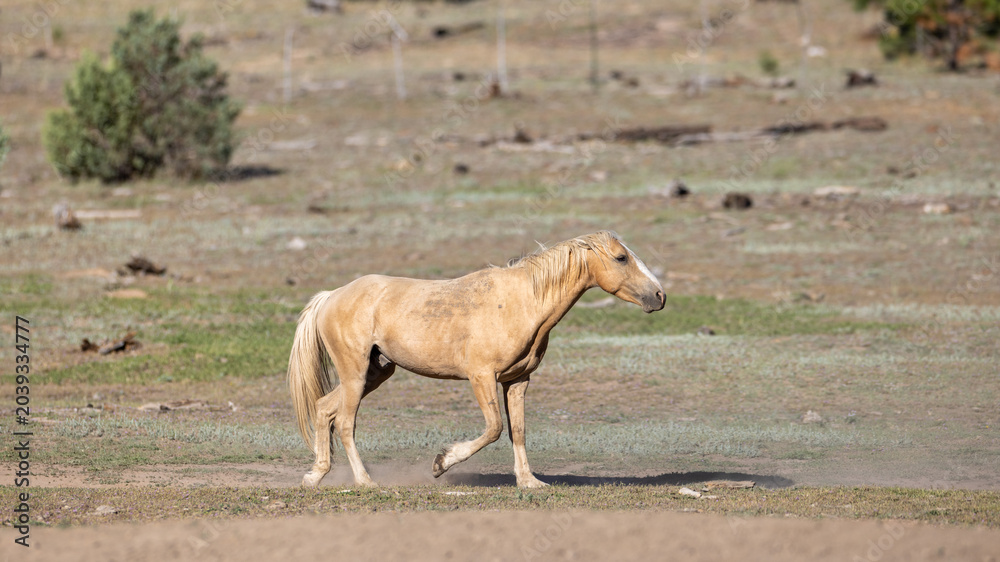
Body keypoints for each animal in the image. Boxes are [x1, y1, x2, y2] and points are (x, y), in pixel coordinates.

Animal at [287, 230, 665, 488]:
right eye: (621, 258)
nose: (659, 296)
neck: (522, 302)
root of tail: (331, 296)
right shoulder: (482, 376)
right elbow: (495, 428)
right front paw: (441, 463)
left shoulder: (517, 380)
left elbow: (518, 431)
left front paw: (529, 482)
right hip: (354, 373)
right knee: (345, 422)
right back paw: (365, 481)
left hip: (375, 372)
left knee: (324, 409)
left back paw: (315, 476)